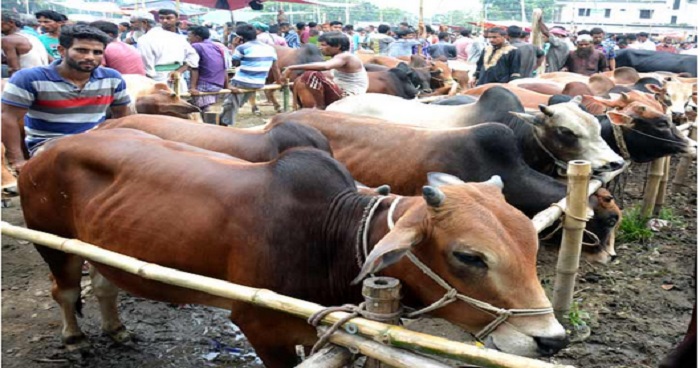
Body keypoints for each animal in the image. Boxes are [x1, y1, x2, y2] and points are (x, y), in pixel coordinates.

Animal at [20, 128, 568, 366]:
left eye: (530, 242)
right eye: (469, 256)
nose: (551, 340)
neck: (328, 236)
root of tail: (44, 151)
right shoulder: (260, 328)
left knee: (105, 284)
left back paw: (117, 329)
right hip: (53, 243)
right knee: (64, 291)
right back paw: (76, 338)